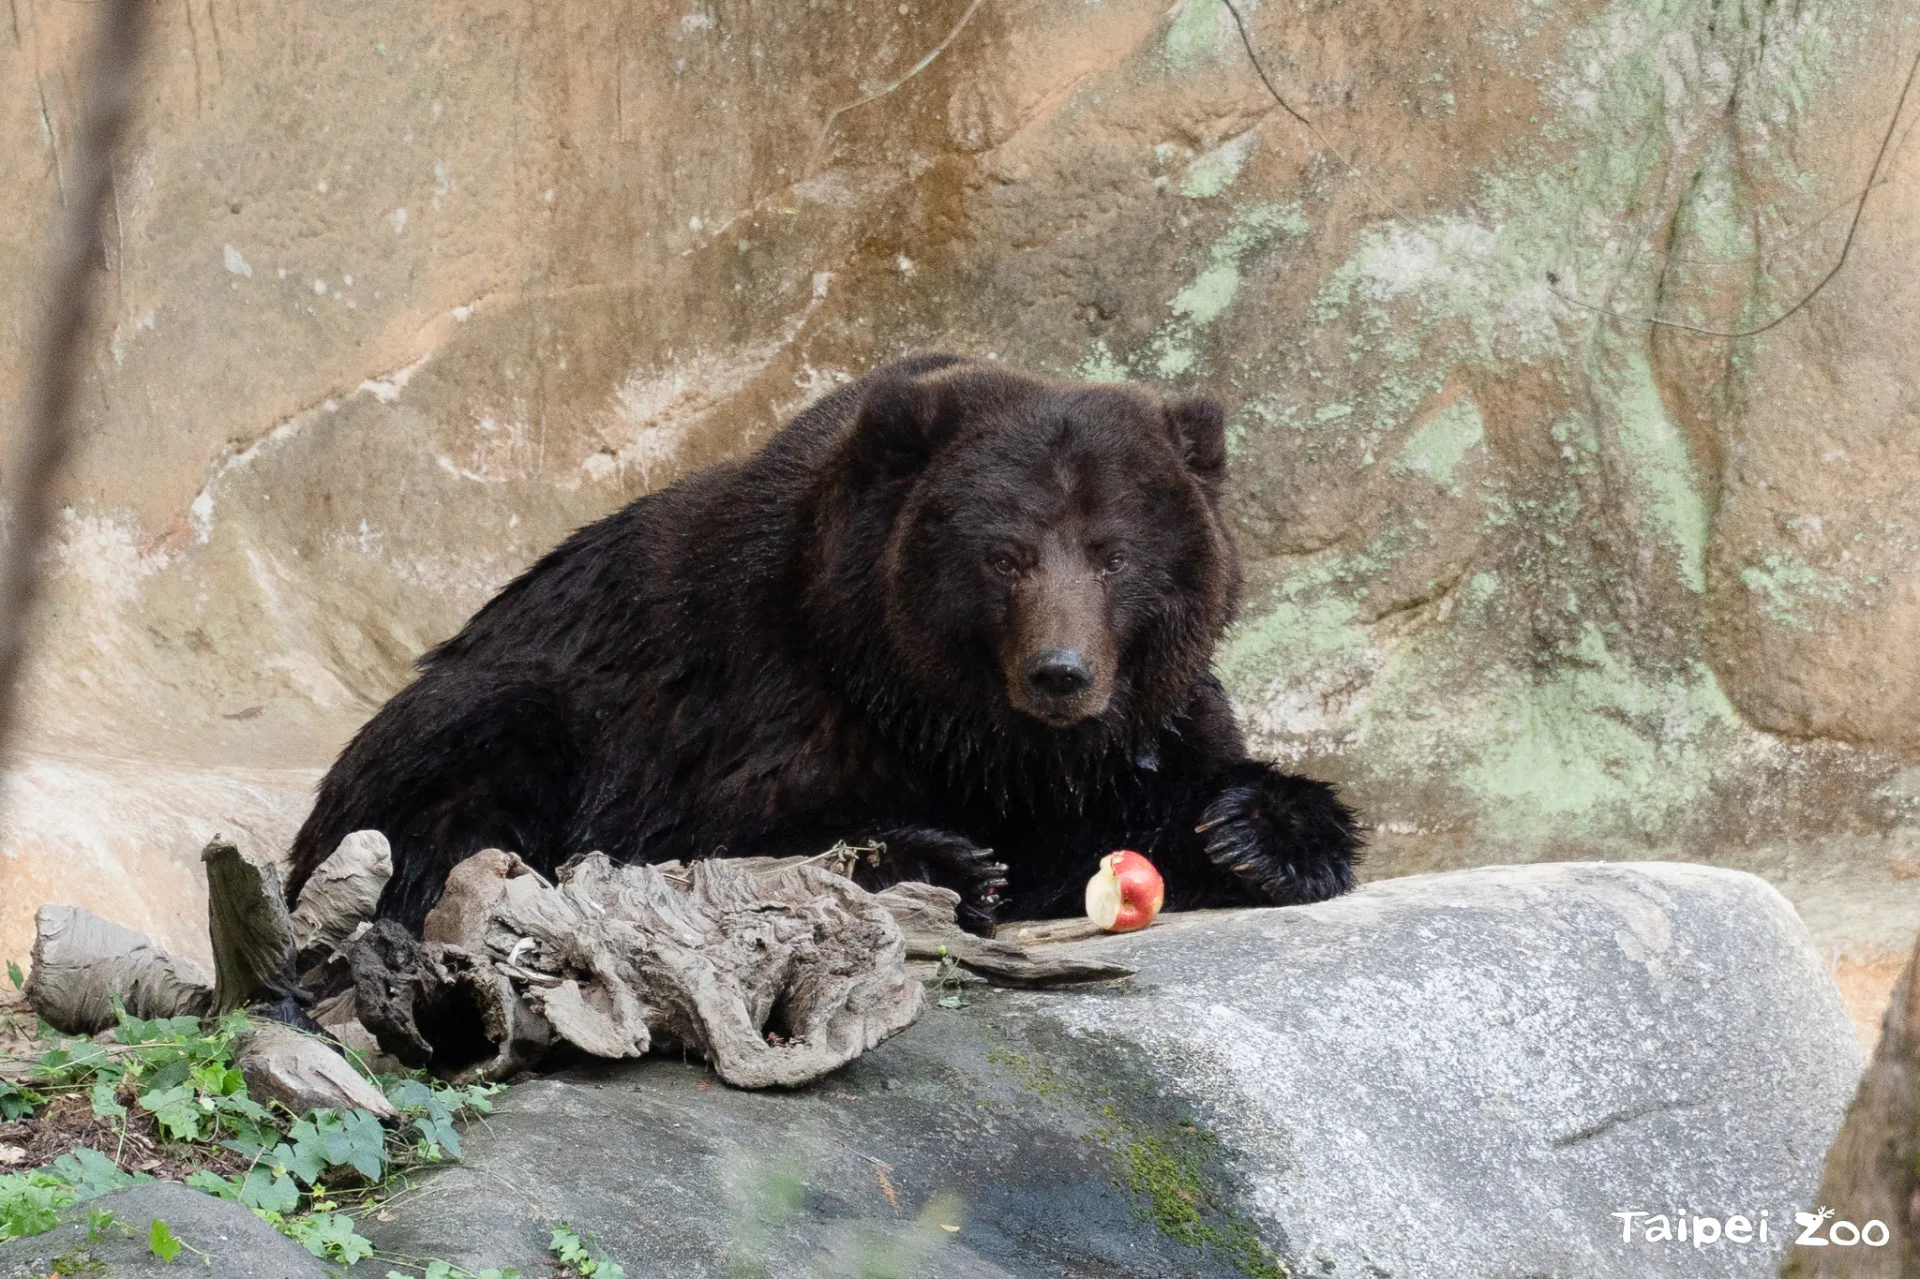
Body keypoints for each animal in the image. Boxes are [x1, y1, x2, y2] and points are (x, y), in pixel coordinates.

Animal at [283, 355, 1360, 934]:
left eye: (1113, 553)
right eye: (1005, 554)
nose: (1061, 672)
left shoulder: (1139, 723)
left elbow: (1189, 780)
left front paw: (1258, 832)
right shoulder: (764, 688)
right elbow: (724, 827)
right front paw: (953, 863)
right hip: (501, 696)